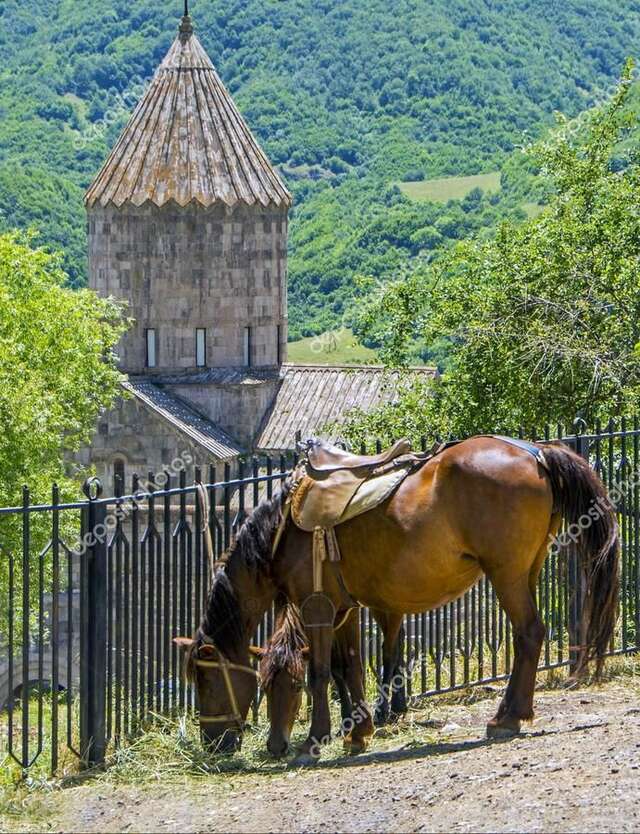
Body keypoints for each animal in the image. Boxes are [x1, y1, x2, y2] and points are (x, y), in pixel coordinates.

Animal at [175, 438, 620, 756]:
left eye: (206, 679)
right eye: (265, 685)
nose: (212, 743)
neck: (283, 531)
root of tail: (536, 453)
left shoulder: (316, 608)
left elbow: (321, 672)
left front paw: (315, 740)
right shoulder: (344, 609)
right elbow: (349, 668)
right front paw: (357, 733)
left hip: (506, 574)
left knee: (528, 633)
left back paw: (506, 718)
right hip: (527, 570)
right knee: (528, 636)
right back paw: (517, 711)